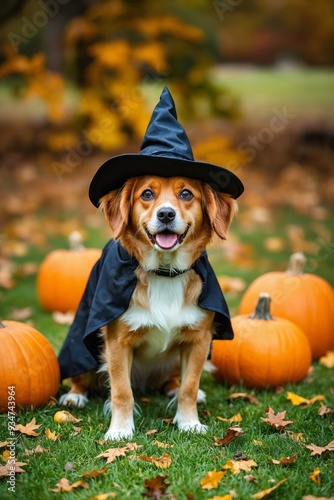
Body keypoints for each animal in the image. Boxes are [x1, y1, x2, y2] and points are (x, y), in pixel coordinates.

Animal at [59, 174, 237, 440]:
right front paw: (120, 430)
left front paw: (189, 422)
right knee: (81, 375)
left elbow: (189, 387)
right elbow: (122, 392)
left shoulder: (199, 340)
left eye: (186, 194)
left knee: (173, 382)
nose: (166, 214)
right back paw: (75, 396)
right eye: (146, 194)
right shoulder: (117, 343)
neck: (164, 272)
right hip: (84, 346)